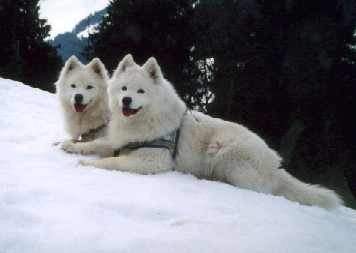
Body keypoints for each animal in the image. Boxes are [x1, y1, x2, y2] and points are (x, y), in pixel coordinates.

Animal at [62, 54, 344, 209]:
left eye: (140, 91)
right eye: (123, 89)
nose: (126, 101)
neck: (144, 120)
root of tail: (275, 165)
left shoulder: (152, 160)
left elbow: (113, 162)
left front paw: (87, 165)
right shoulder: (120, 140)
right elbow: (97, 145)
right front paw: (70, 145)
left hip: (225, 150)